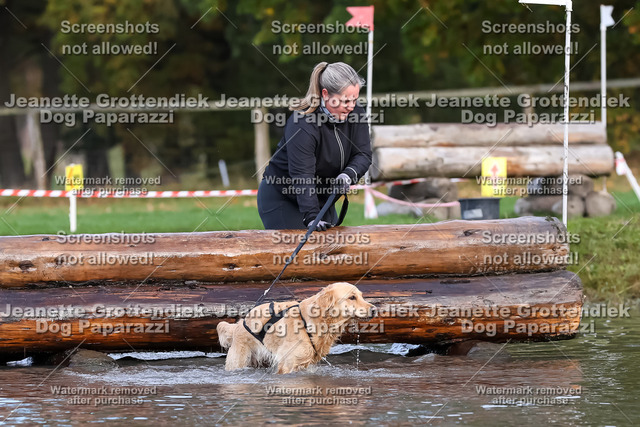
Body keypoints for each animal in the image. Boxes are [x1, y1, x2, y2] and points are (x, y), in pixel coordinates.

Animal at [217, 282, 375, 374]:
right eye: (352, 297)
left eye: (361, 296)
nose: (374, 310)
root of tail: (239, 324)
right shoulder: (288, 365)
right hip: (238, 361)